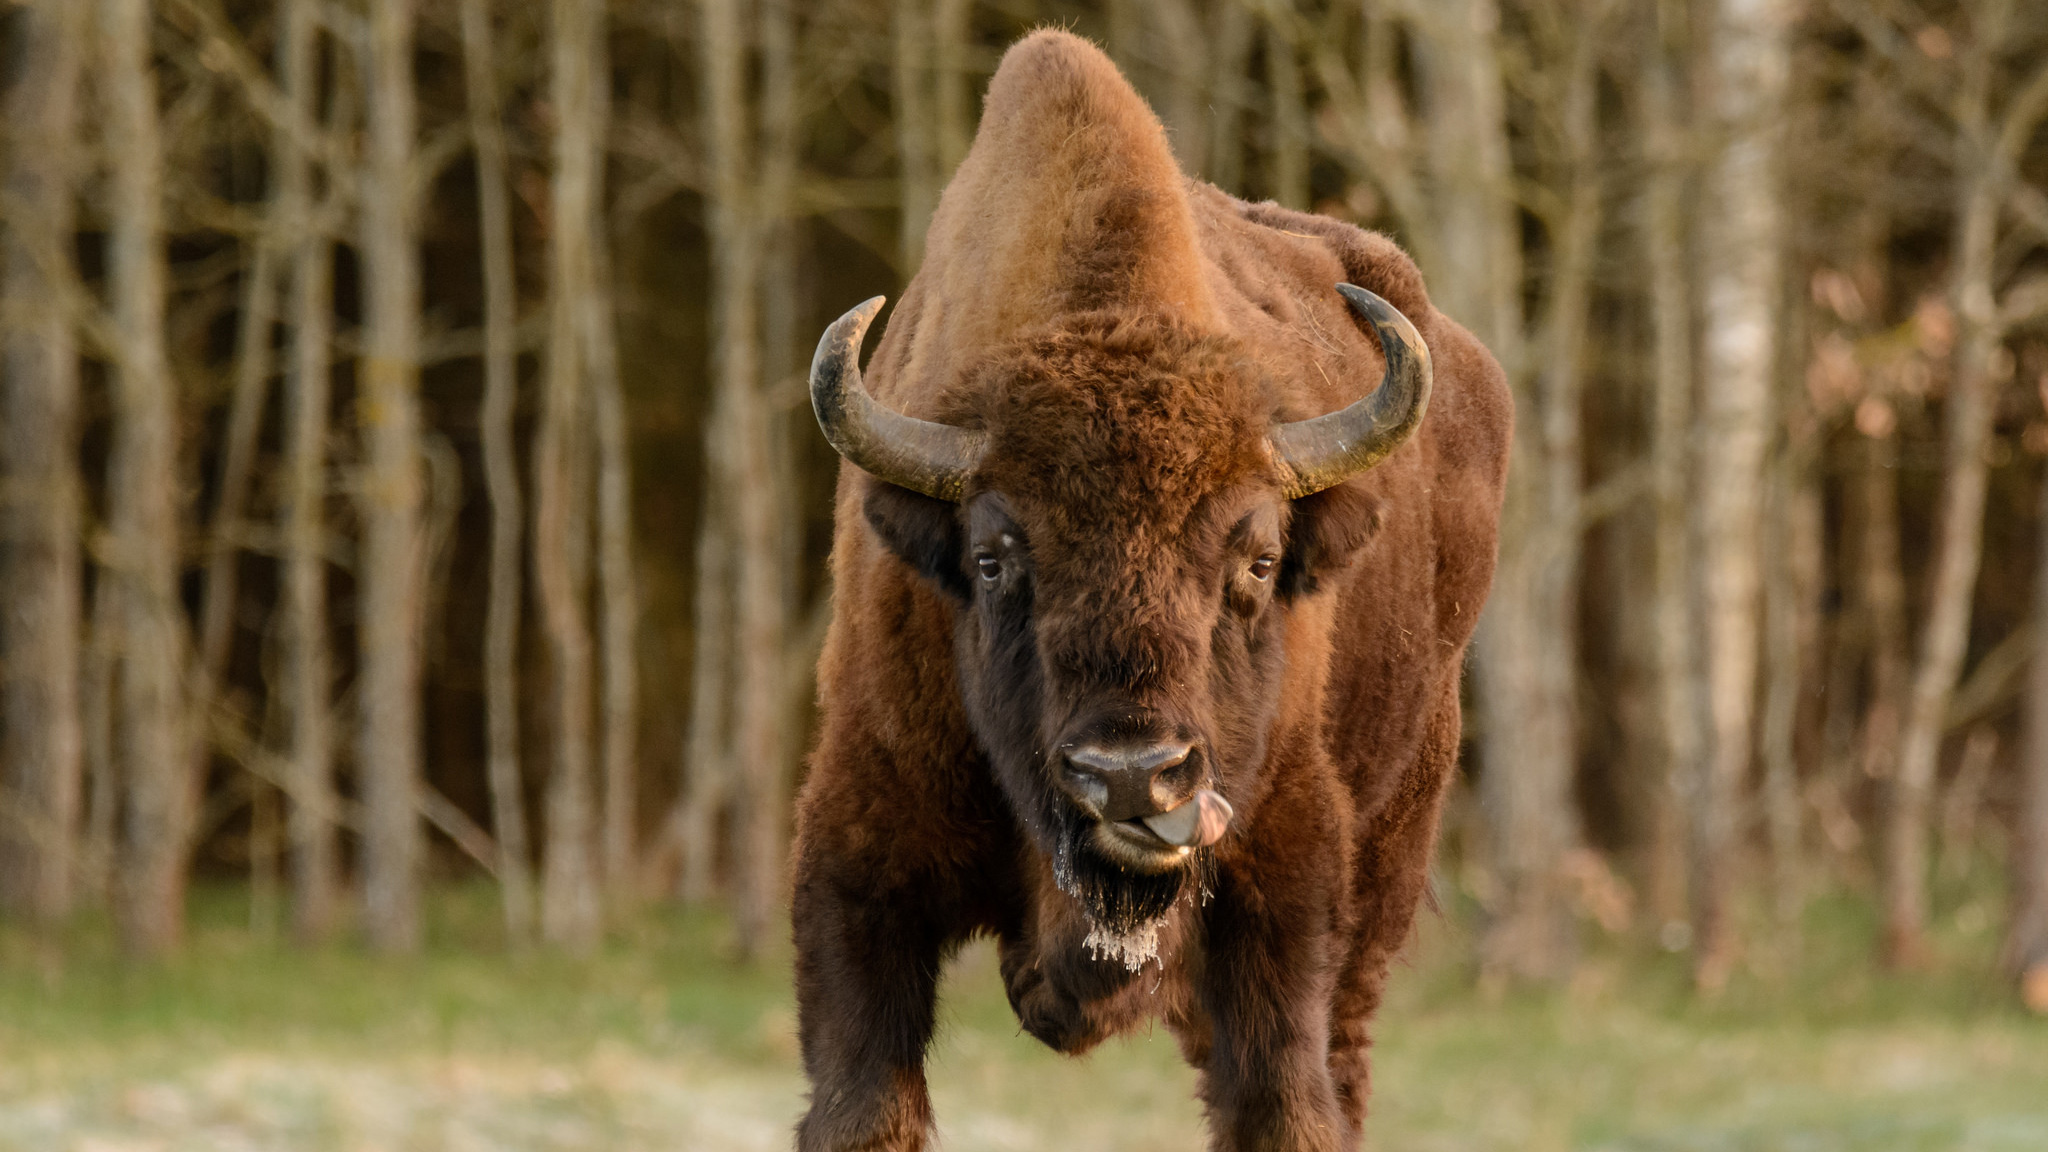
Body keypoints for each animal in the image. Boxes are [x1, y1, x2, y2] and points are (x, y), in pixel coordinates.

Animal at [790, 29, 1515, 1147]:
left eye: (1256, 558)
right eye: (993, 557)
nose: (1132, 778)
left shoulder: (1284, 885)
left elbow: (1283, 1098)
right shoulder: (860, 855)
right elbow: (864, 1100)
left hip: (1390, 854)